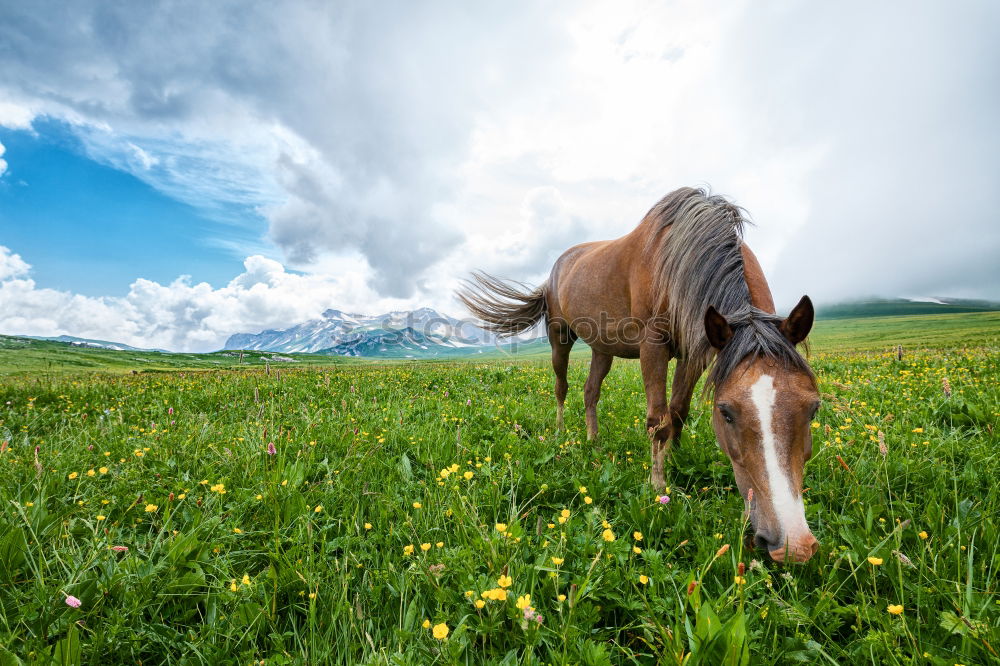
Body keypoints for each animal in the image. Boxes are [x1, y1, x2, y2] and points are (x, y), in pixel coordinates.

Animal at [458, 185, 820, 560]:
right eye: (726, 412)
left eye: (813, 408)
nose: (793, 546)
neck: (680, 259)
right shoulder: (653, 346)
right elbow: (658, 420)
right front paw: (659, 486)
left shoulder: (696, 352)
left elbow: (678, 411)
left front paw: (676, 456)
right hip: (560, 336)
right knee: (562, 387)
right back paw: (559, 433)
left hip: (602, 349)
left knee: (590, 391)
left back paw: (593, 441)